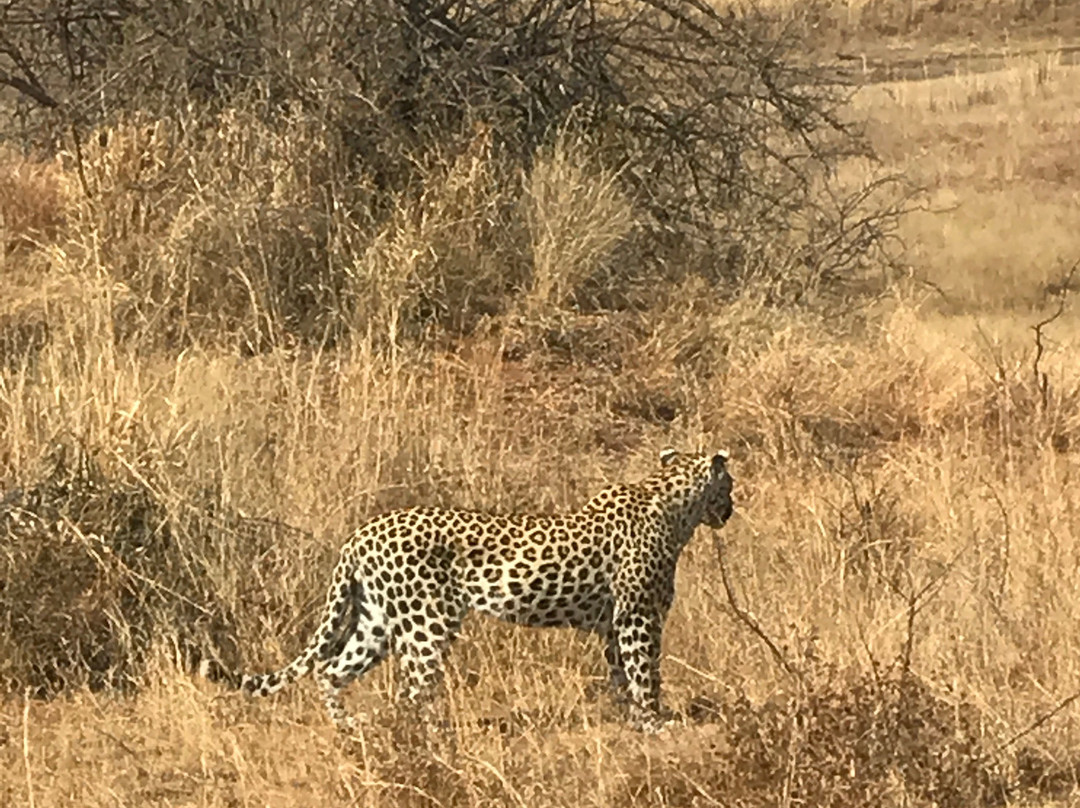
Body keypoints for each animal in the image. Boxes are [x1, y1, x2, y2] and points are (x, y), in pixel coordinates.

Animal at [236, 447, 734, 730]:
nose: (731, 507)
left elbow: (621, 675)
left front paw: (633, 721)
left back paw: (349, 727)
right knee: (411, 690)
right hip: (425, 624)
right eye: (729, 483)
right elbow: (646, 672)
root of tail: (360, 534)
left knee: (330, 669)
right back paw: (429, 738)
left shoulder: (615, 624)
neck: (675, 504)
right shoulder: (638, 618)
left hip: (376, 621)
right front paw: (656, 722)